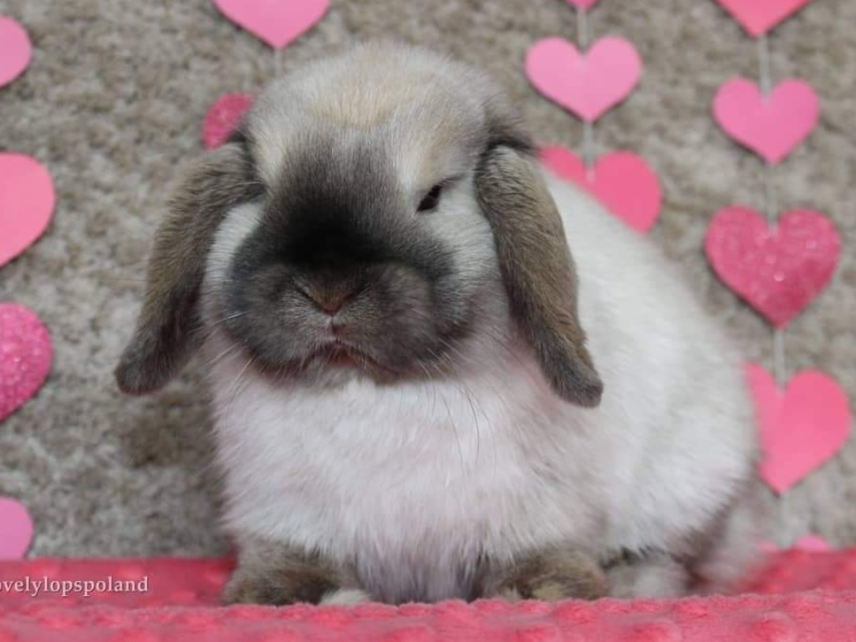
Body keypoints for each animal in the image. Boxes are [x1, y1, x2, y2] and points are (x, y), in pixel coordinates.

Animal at [115, 42, 764, 605]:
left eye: (431, 197)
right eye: (263, 192)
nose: (328, 290)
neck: (373, 391)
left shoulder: (538, 507)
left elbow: (540, 553)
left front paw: (540, 590)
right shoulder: (282, 510)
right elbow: (296, 562)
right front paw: (285, 595)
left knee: (666, 555)